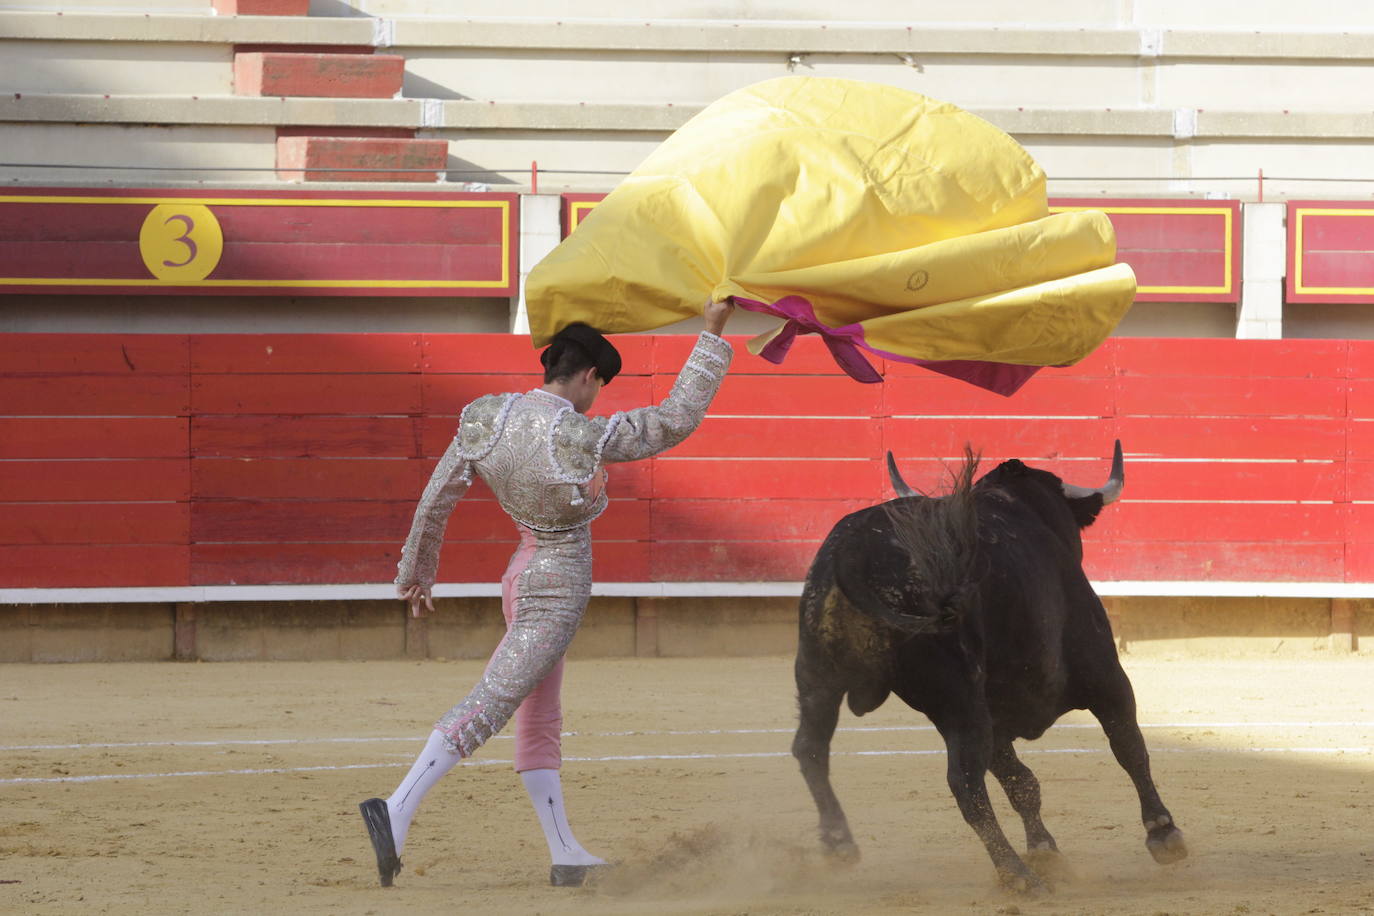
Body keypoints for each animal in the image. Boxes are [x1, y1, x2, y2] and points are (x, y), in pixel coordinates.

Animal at [791, 444, 1187, 895]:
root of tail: (854, 551)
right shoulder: (1106, 676)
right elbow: (1130, 747)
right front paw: (1164, 833)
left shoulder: (996, 716)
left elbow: (1022, 783)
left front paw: (1045, 850)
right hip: (960, 700)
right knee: (964, 782)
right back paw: (1017, 874)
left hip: (817, 677)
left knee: (810, 747)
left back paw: (838, 842)